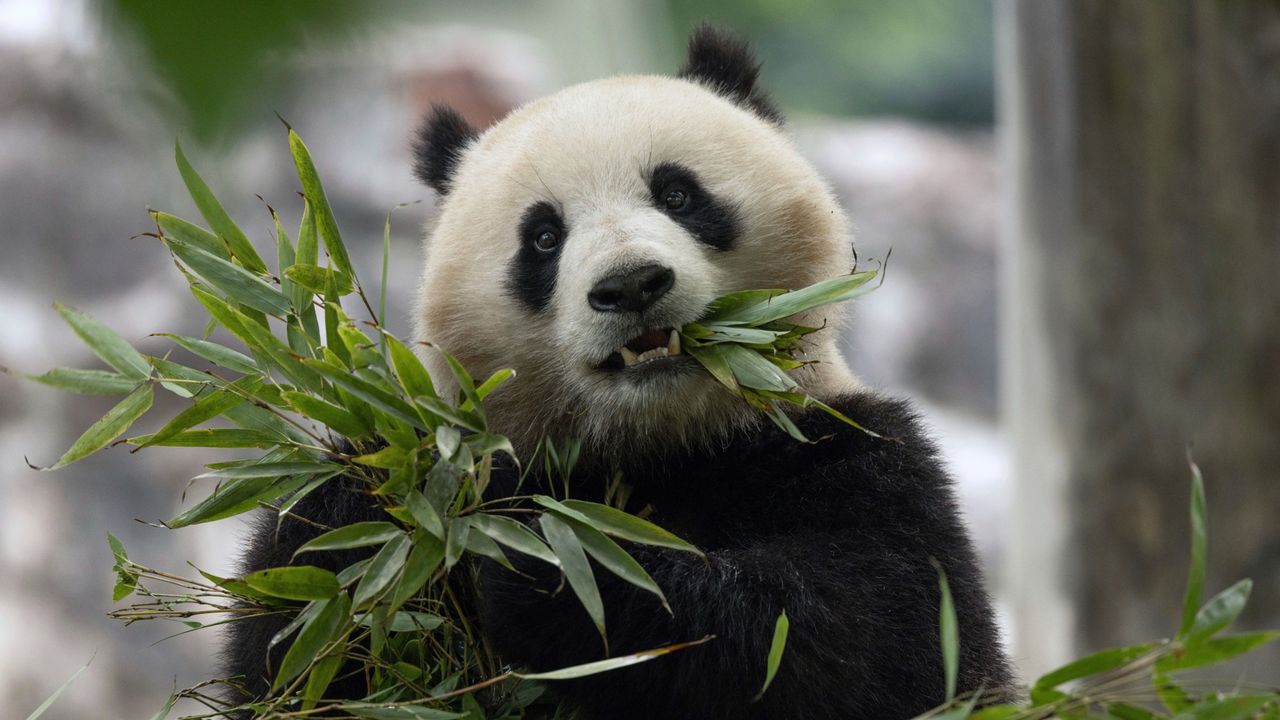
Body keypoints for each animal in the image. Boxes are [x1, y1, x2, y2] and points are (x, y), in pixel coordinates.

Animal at [225, 23, 1013, 717]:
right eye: (543, 237)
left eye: (678, 194)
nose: (631, 285)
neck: (661, 442)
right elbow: (296, 653)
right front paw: (364, 506)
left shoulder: (855, 455)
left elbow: (861, 641)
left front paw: (552, 567)